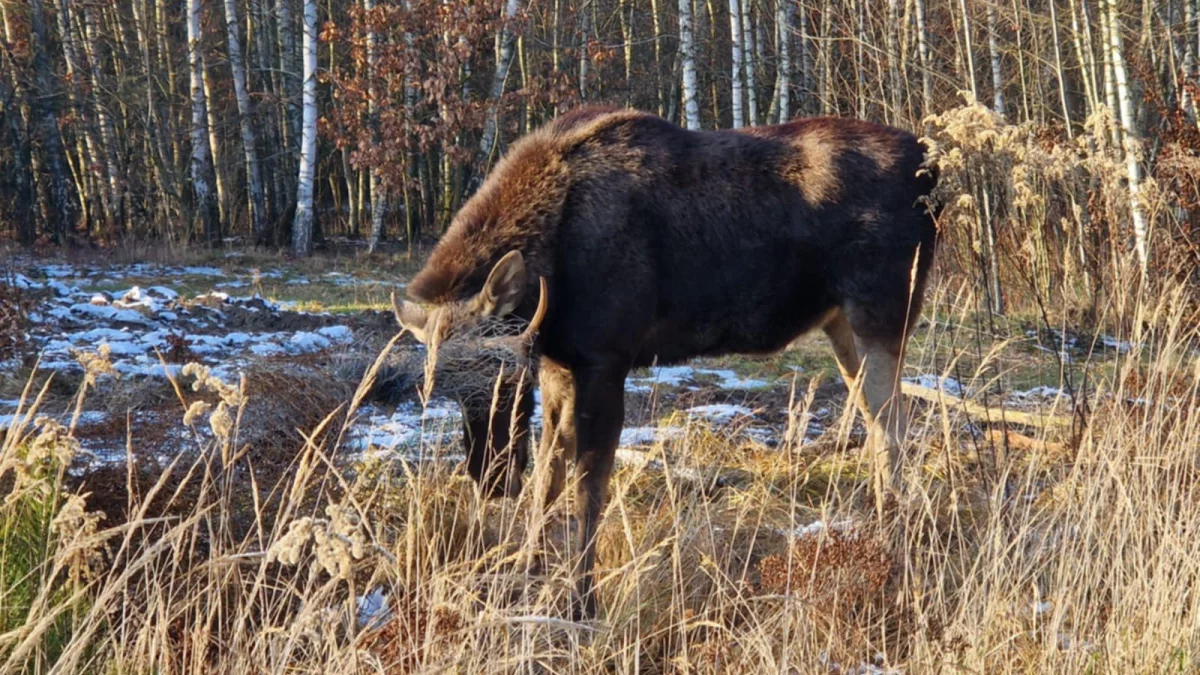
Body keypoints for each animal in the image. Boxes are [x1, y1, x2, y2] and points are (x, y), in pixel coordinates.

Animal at [391, 103, 936, 614]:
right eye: (440, 383)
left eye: (505, 373)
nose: (491, 477)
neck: (553, 269)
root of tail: (932, 169)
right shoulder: (559, 364)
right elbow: (549, 474)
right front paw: (526, 572)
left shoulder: (605, 358)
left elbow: (588, 487)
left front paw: (582, 601)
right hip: (841, 324)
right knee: (878, 424)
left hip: (882, 312)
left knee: (895, 430)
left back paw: (898, 550)